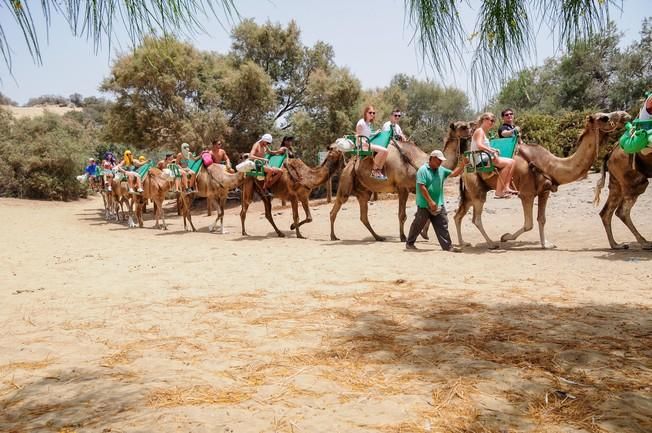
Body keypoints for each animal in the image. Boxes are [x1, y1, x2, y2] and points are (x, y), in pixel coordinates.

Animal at [328, 121, 472, 241]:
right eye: (463, 126)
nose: (472, 129)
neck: (420, 161)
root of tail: (350, 161)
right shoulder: (403, 188)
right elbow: (402, 215)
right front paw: (403, 237)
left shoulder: (417, 188)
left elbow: (430, 210)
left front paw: (424, 234)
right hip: (346, 181)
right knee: (335, 208)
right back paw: (333, 236)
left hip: (364, 191)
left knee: (363, 216)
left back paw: (379, 237)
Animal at [454, 109, 632, 248]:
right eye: (604, 117)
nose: (626, 115)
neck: (550, 165)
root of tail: (465, 169)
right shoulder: (526, 193)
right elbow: (528, 224)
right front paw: (505, 237)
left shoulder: (545, 191)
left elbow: (542, 219)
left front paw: (546, 244)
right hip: (477, 190)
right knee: (476, 219)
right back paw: (491, 243)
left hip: (470, 193)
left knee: (458, 215)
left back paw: (463, 243)